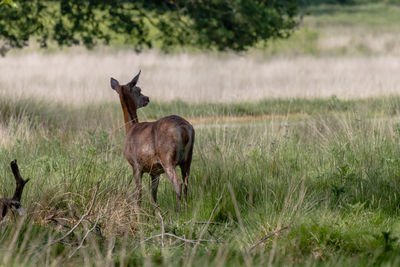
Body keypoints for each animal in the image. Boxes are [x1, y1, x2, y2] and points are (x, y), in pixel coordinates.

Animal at [110, 71, 195, 214]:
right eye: (139, 90)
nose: (147, 98)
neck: (130, 128)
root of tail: (184, 129)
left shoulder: (136, 165)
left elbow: (138, 195)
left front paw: (138, 215)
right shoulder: (154, 171)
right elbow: (153, 196)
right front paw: (155, 214)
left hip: (168, 158)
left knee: (178, 183)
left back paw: (178, 213)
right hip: (188, 159)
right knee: (187, 183)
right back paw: (187, 210)